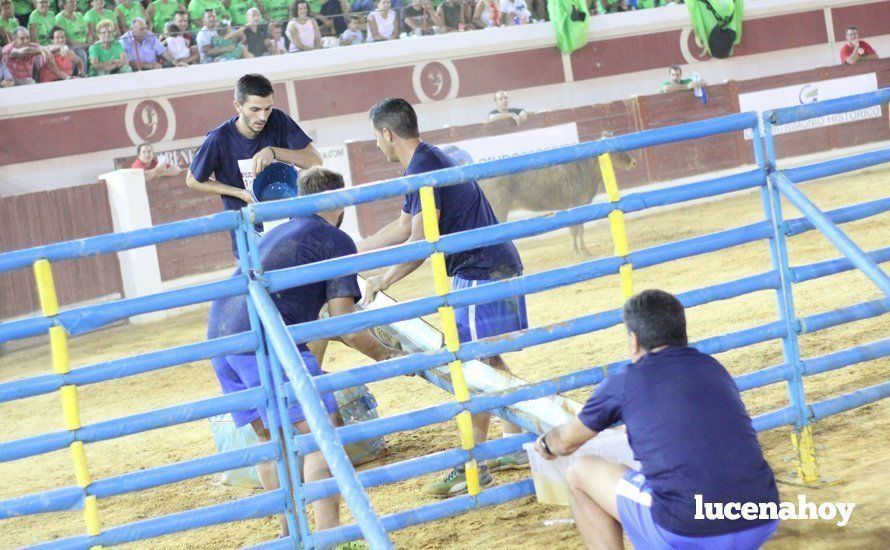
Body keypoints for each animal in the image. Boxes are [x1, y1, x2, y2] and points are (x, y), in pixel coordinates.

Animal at [478, 134, 632, 256]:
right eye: (616, 150)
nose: (633, 162)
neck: (584, 169)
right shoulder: (575, 204)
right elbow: (577, 229)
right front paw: (582, 251)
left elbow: (576, 230)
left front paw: (577, 249)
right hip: (499, 209)